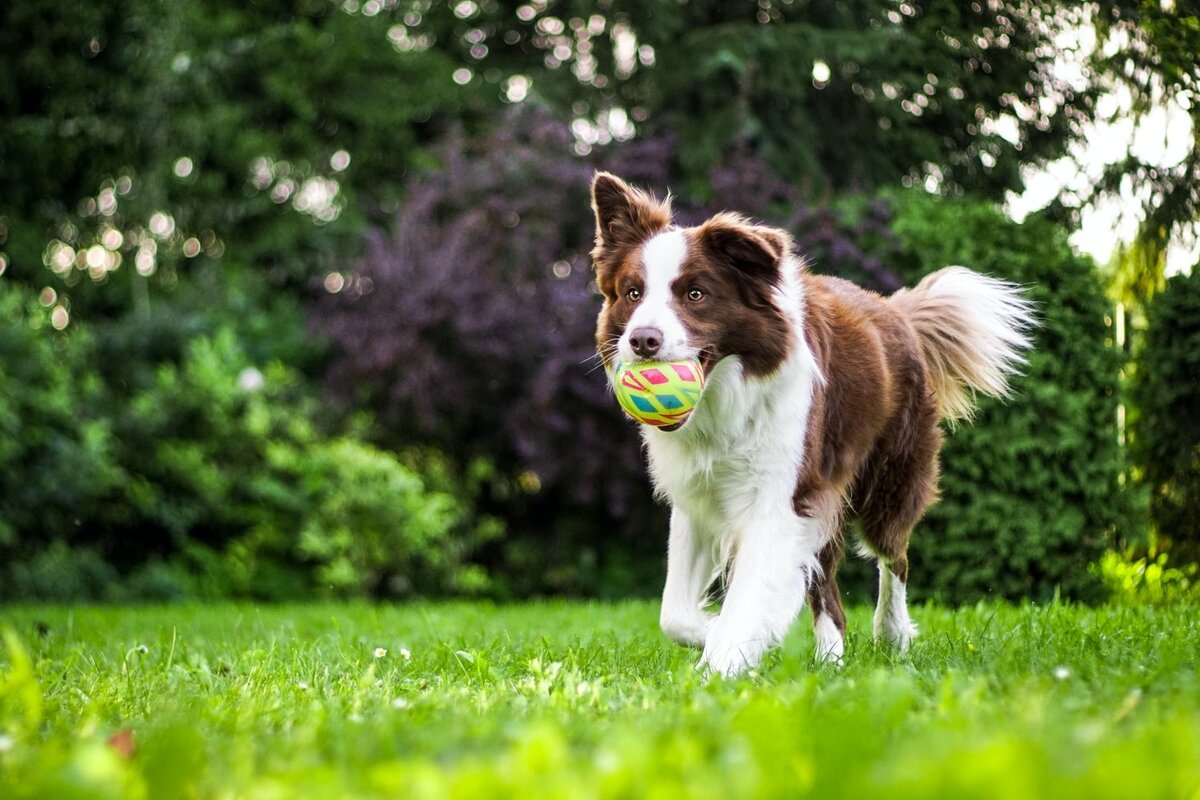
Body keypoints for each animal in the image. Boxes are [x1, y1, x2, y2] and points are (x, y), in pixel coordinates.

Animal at [588, 170, 1032, 676]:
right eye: (633, 293)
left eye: (695, 294)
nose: (642, 340)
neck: (726, 398)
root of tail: (896, 311)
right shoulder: (700, 495)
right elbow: (674, 614)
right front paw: (718, 633)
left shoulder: (782, 495)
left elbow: (749, 595)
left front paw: (724, 661)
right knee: (828, 590)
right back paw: (831, 661)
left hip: (888, 479)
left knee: (894, 556)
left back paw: (891, 634)